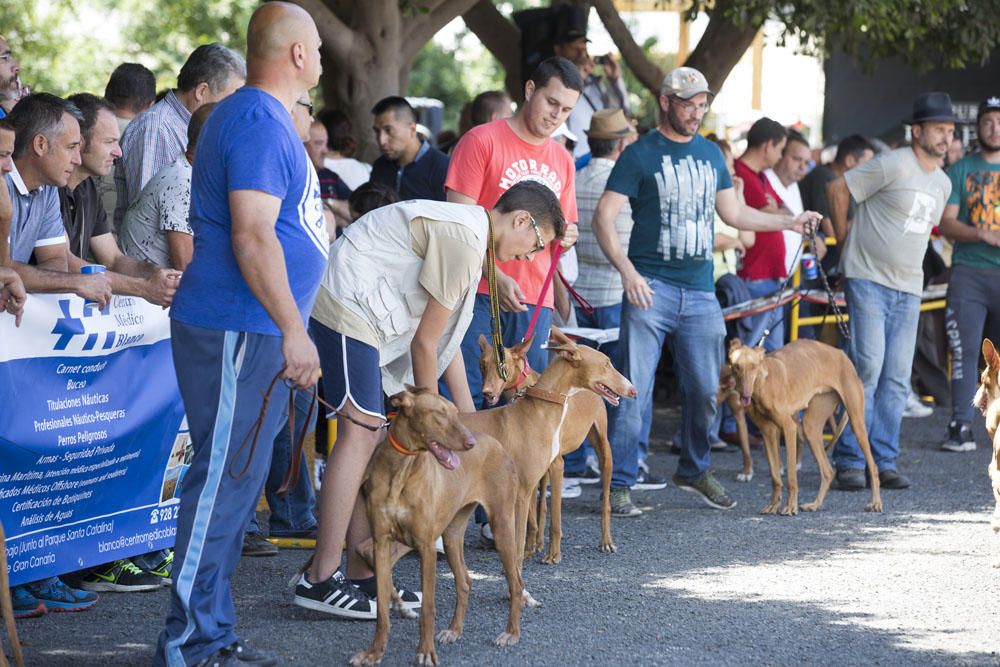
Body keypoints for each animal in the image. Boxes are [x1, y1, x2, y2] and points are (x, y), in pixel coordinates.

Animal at [350, 388, 524, 667]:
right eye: (439, 414)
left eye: (455, 412)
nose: (470, 443)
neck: (401, 470)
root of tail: (495, 442)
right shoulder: (381, 543)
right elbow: (382, 611)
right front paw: (374, 653)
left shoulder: (426, 547)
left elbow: (428, 608)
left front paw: (425, 652)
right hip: (452, 536)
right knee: (464, 581)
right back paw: (454, 630)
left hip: (502, 527)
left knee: (515, 583)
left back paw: (511, 633)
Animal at [728, 340, 884, 516]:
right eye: (736, 366)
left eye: (753, 366)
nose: (745, 394)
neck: (763, 382)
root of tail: (843, 354)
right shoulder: (768, 432)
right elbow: (775, 476)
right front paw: (773, 505)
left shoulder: (789, 428)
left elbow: (791, 477)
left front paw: (790, 507)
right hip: (811, 428)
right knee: (827, 471)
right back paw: (815, 505)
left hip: (856, 422)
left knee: (873, 466)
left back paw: (876, 503)